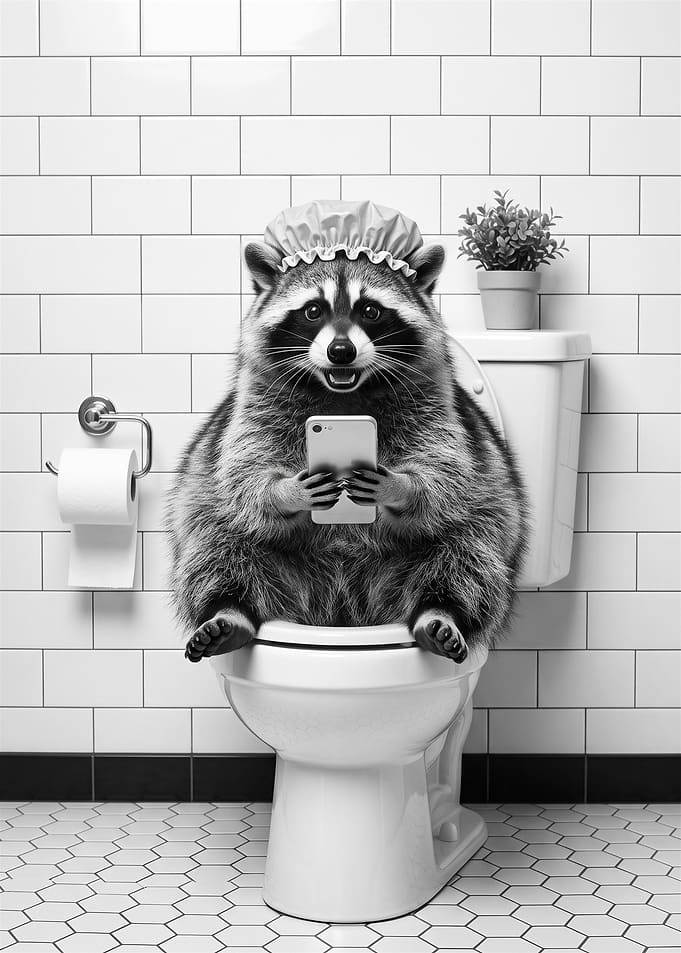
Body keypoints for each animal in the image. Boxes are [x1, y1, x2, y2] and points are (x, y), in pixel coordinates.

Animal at [166, 241, 528, 664]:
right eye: (313, 310)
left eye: (370, 311)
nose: (341, 351)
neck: (342, 393)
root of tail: (343, 603)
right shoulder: (254, 409)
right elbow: (245, 470)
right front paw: (285, 492)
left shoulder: (437, 408)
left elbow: (443, 468)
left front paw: (401, 488)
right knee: (217, 544)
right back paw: (227, 610)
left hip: (482, 522)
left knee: (469, 551)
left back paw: (441, 611)